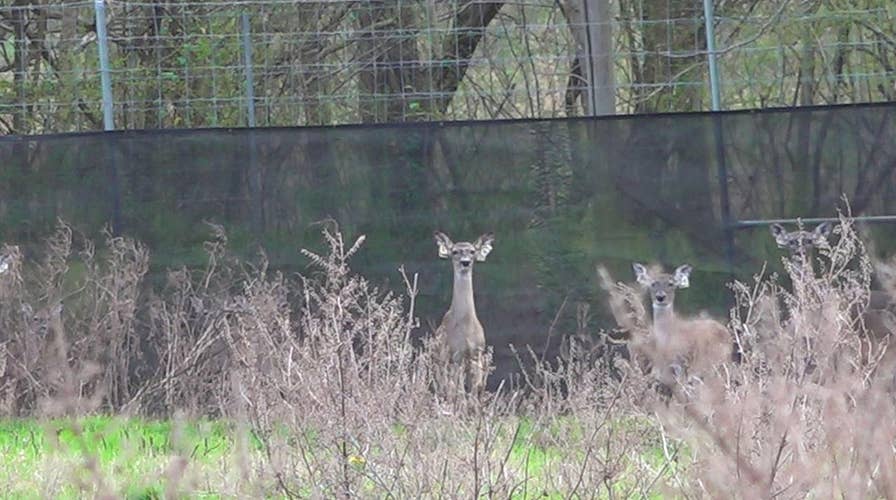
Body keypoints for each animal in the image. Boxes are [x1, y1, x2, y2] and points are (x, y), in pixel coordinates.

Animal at [433, 231, 494, 396]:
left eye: (472, 251)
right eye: (454, 251)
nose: (465, 262)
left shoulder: (476, 353)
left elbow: (475, 390)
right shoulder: (455, 354)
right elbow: (457, 391)